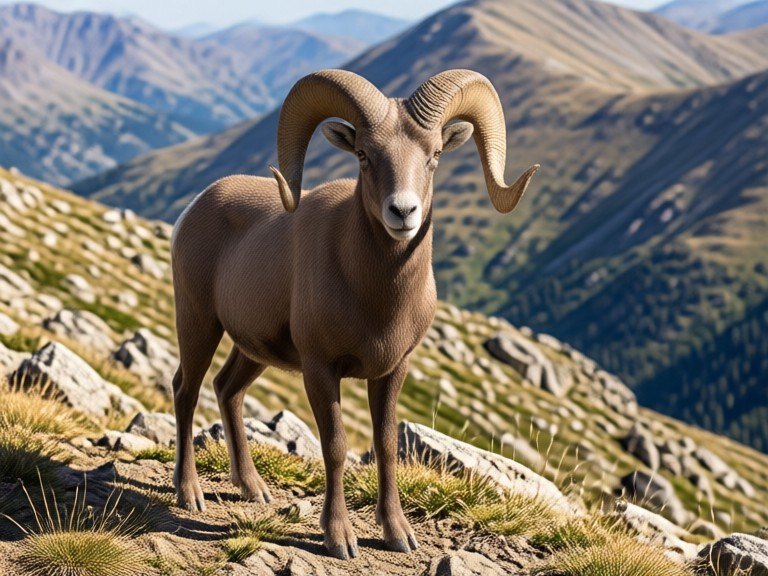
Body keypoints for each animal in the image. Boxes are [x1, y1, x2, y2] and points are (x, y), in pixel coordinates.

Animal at [170, 68, 539, 560]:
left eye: (435, 155)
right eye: (364, 155)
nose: (402, 212)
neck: (377, 300)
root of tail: (194, 207)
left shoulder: (392, 370)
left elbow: (385, 445)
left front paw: (398, 534)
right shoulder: (320, 369)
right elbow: (336, 447)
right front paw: (339, 537)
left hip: (252, 350)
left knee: (227, 390)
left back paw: (253, 489)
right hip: (199, 323)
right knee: (186, 391)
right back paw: (189, 494)